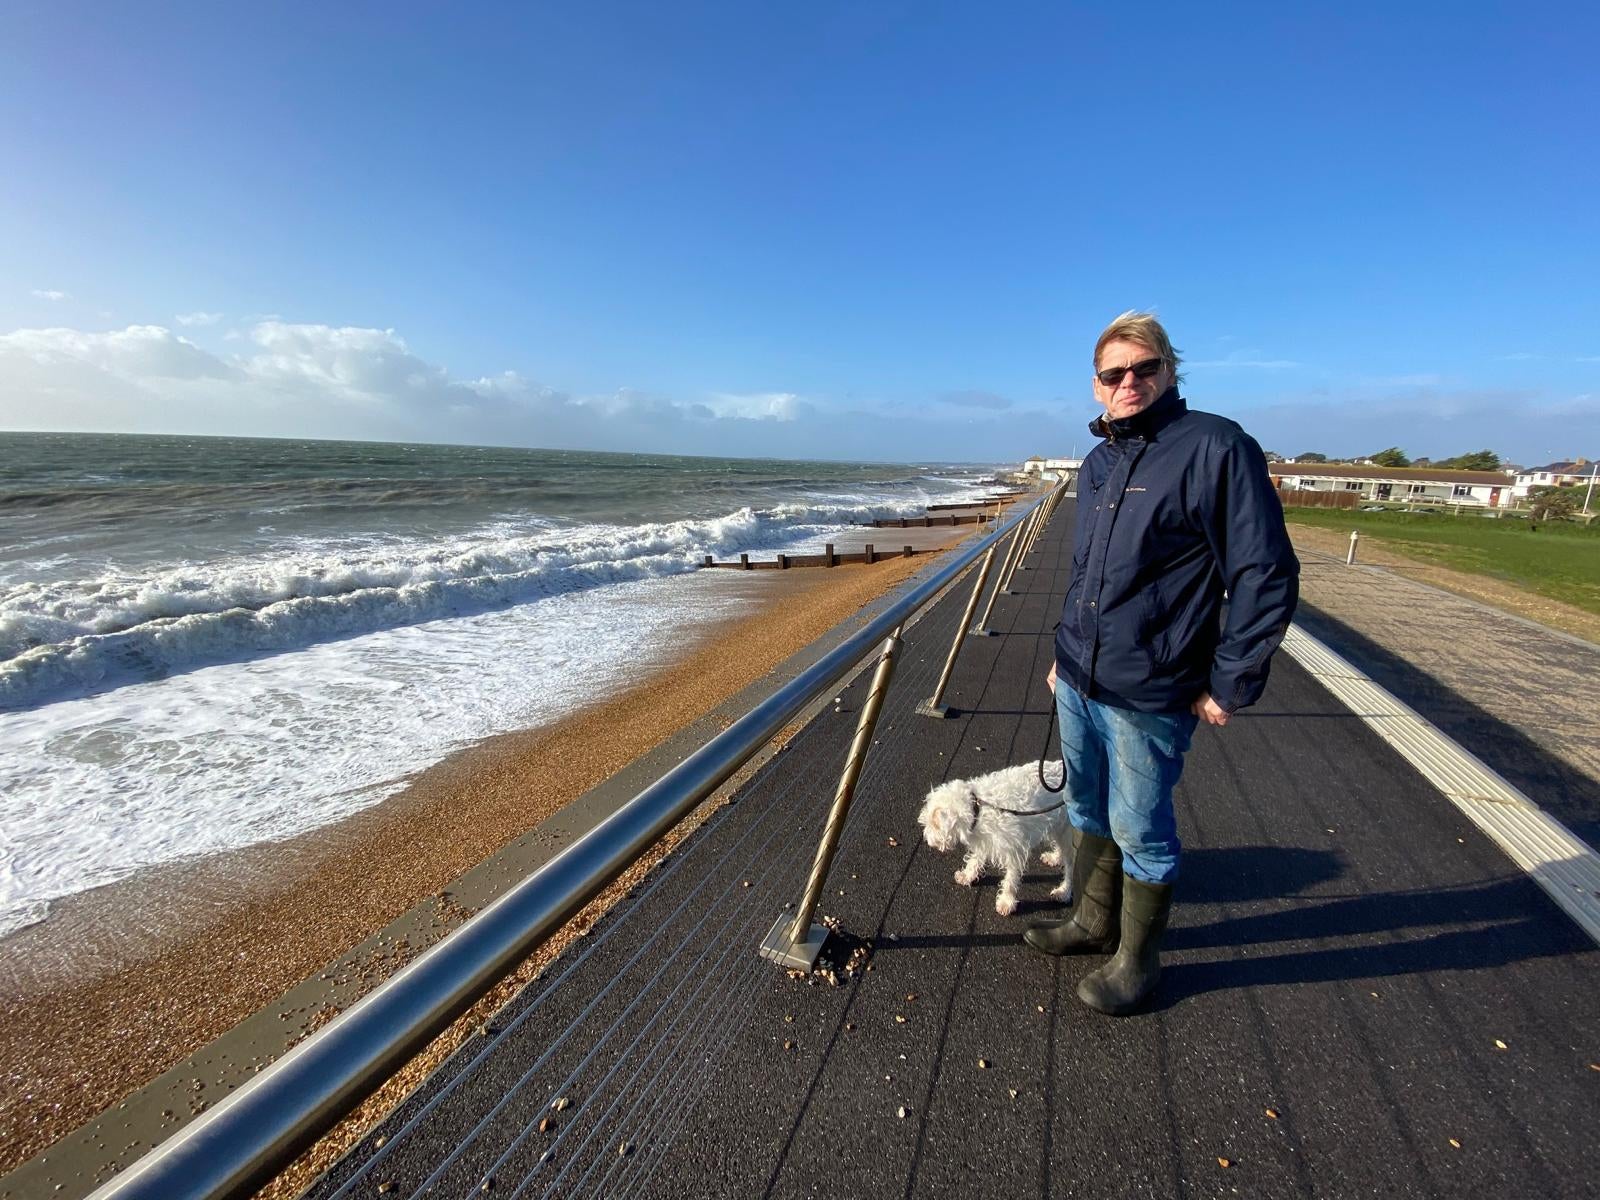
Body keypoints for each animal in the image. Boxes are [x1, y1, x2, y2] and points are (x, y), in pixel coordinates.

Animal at [915, 764, 1075, 915]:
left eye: (932, 824)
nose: (928, 841)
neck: (977, 808)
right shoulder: (986, 841)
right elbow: (975, 860)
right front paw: (967, 875)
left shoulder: (1015, 848)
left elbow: (1011, 878)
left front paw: (1006, 902)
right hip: (1058, 826)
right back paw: (1054, 858)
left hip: (1068, 832)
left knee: (1070, 865)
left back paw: (1064, 892)